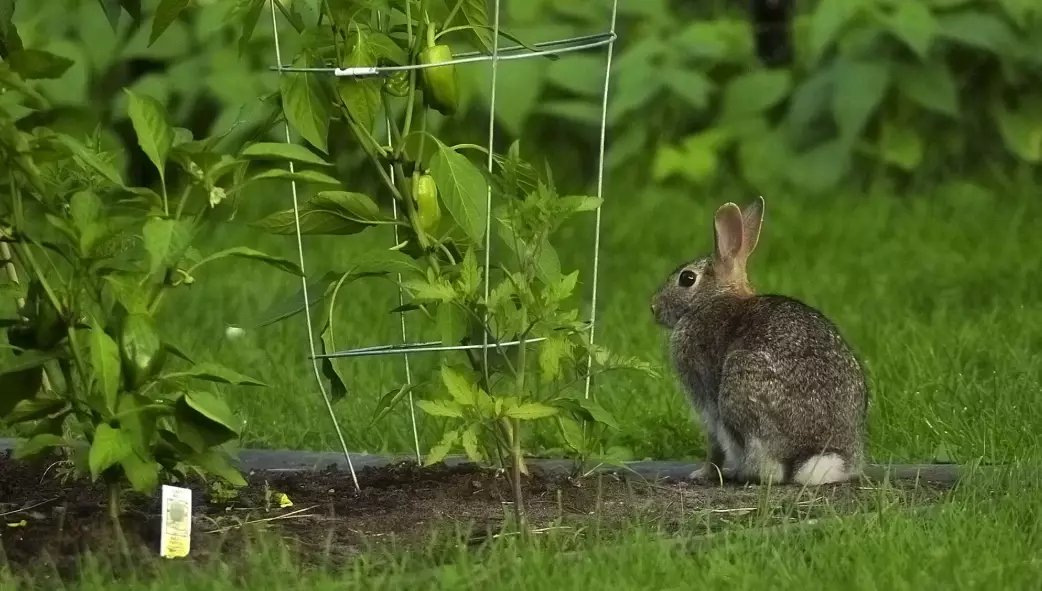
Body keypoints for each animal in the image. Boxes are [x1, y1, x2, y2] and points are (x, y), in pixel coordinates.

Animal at [651, 196, 867, 486]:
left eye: (687, 278)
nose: (653, 308)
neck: (712, 300)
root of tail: (814, 454)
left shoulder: (707, 400)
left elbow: (714, 445)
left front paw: (702, 473)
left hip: (739, 383)